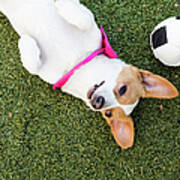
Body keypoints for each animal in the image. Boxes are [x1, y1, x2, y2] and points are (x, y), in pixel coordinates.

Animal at [0, 0, 177, 149]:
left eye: (108, 113)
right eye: (123, 89)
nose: (97, 103)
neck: (78, 63)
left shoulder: (44, 72)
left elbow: (32, 65)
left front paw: (26, 43)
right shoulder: (93, 30)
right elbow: (85, 18)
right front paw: (64, 5)